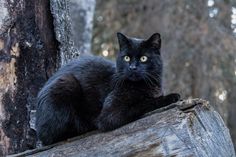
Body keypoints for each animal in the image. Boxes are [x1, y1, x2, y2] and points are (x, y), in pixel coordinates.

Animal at [35, 32, 180, 145]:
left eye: (144, 58)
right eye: (126, 58)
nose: (132, 67)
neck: (144, 85)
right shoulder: (110, 115)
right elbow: (145, 103)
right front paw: (171, 97)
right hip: (66, 83)